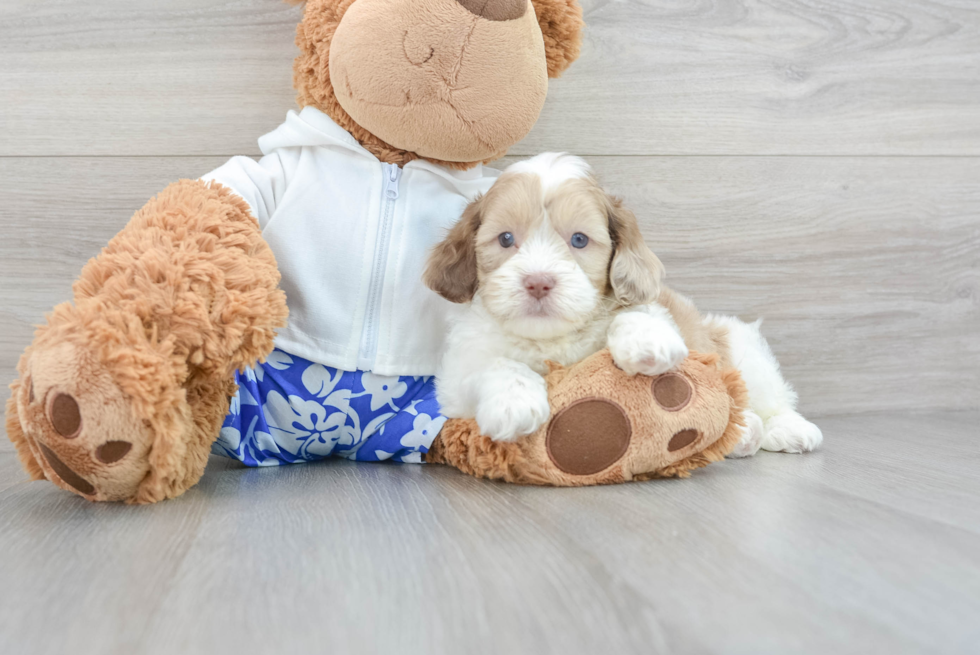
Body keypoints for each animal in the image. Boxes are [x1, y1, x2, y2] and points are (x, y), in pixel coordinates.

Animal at [424, 153, 824, 456]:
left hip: (741, 346)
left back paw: (787, 429)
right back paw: (744, 433)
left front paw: (646, 342)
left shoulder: (655, 309)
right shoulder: (456, 378)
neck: (552, 340)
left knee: (771, 396)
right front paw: (513, 402)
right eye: (506, 239)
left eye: (579, 240)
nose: (538, 281)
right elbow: (495, 365)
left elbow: (633, 314)